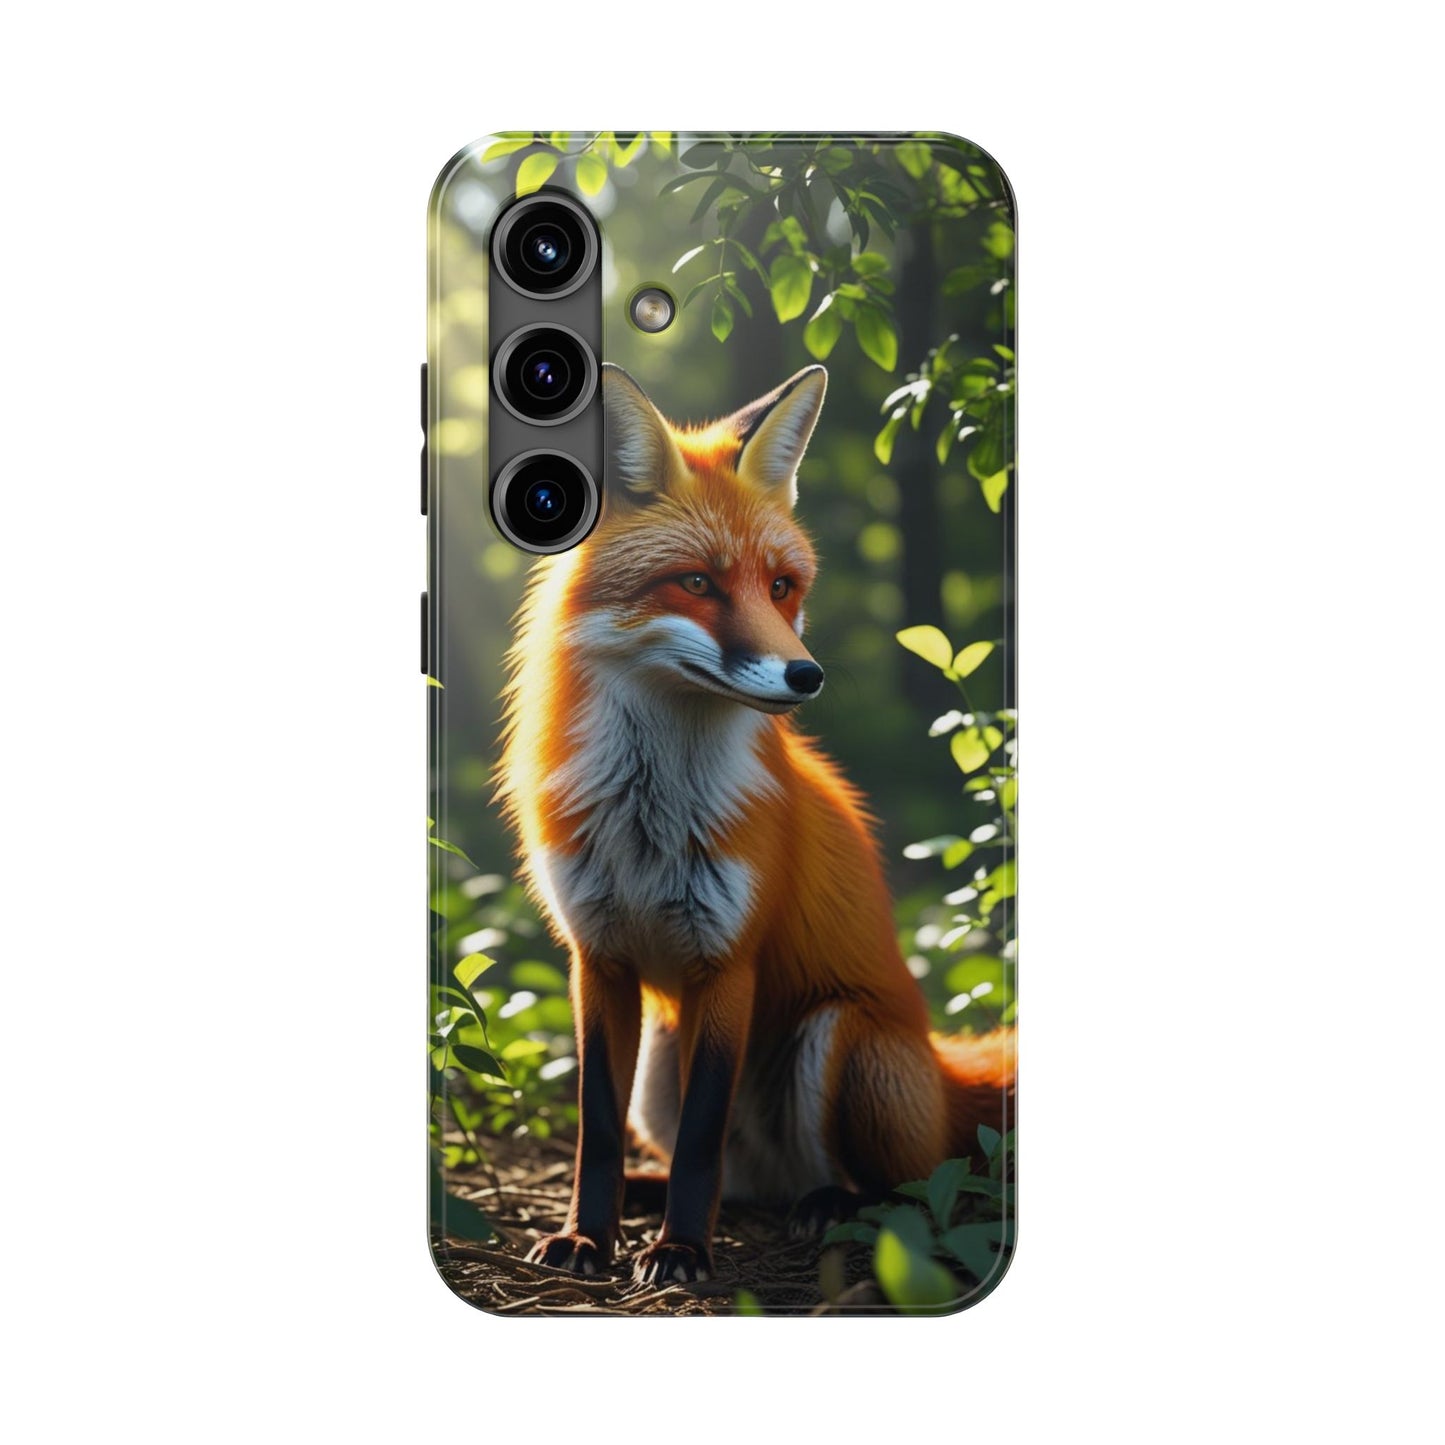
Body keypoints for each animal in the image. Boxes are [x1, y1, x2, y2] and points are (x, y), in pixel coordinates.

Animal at [498, 362, 1015, 1286]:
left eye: (780, 587)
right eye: (697, 582)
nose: (805, 675)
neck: (649, 818)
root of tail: (940, 1062)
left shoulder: (726, 961)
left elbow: (702, 1140)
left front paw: (681, 1251)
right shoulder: (598, 957)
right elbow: (597, 1129)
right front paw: (588, 1236)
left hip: (840, 1039)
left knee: (897, 1188)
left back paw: (827, 1203)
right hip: (658, 1069)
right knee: (736, 1182)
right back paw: (655, 1192)